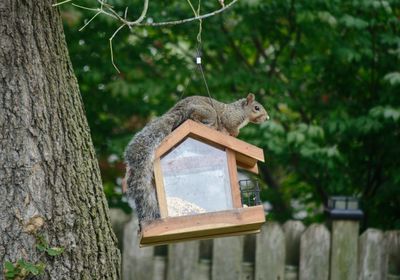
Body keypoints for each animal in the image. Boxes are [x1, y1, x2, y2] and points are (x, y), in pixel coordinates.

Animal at [124, 93, 268, 229]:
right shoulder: (231, 118)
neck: (241, 111)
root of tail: (180, 108)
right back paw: (209, 126)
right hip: (208, 112)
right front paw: (234, 133)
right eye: (257, 108)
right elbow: (231, 127)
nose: (267, 118)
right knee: (194, 117)